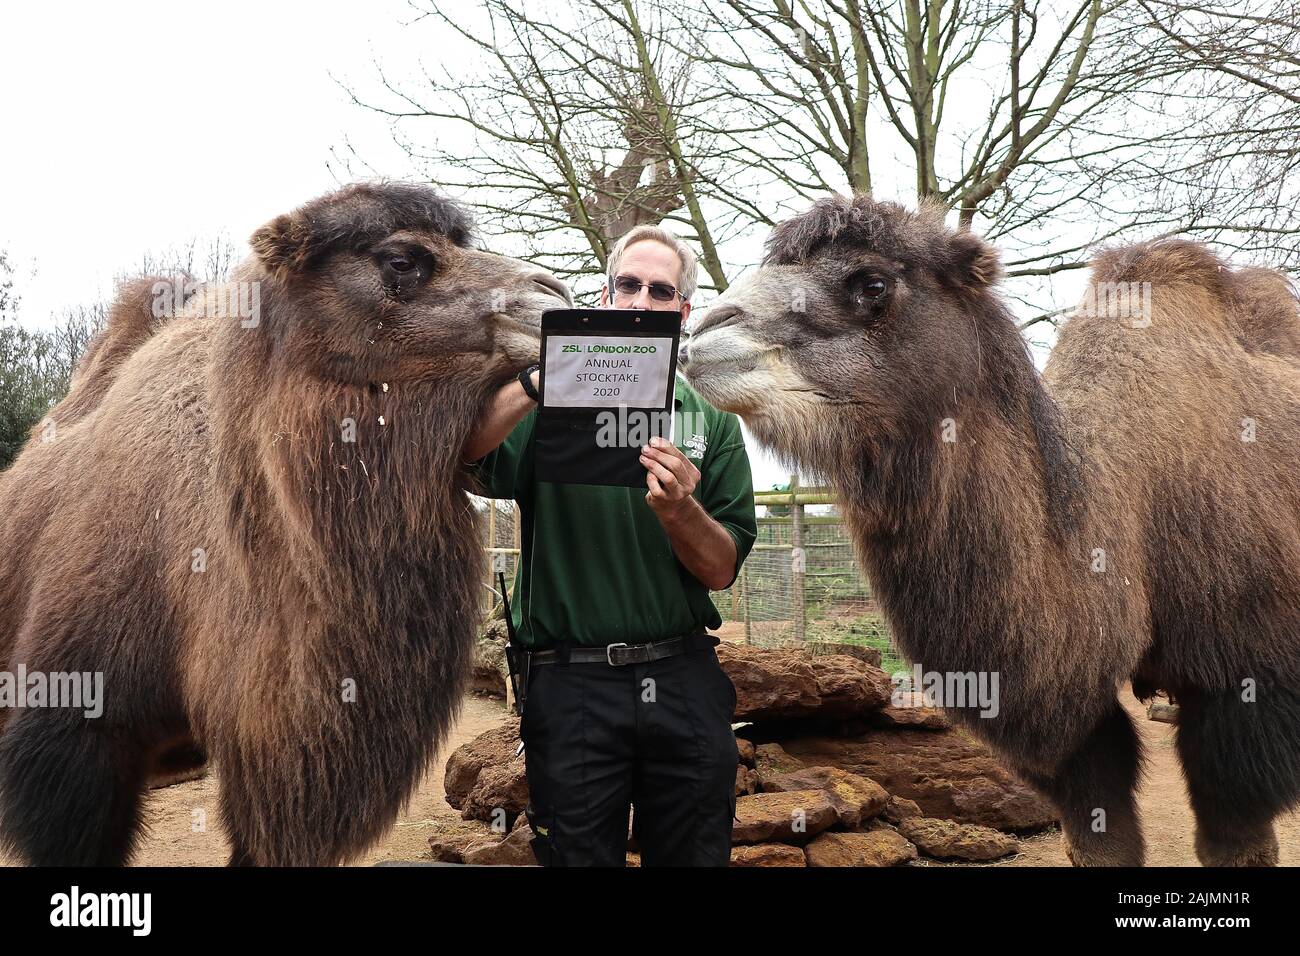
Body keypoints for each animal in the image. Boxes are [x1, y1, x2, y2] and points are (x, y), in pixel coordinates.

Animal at [681, 195, 1300, 868]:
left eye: (872, 283)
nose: (702, 333)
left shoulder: (1246, 685)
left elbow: (1237, 839)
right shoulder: (1076, 729)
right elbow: (1099, 831)